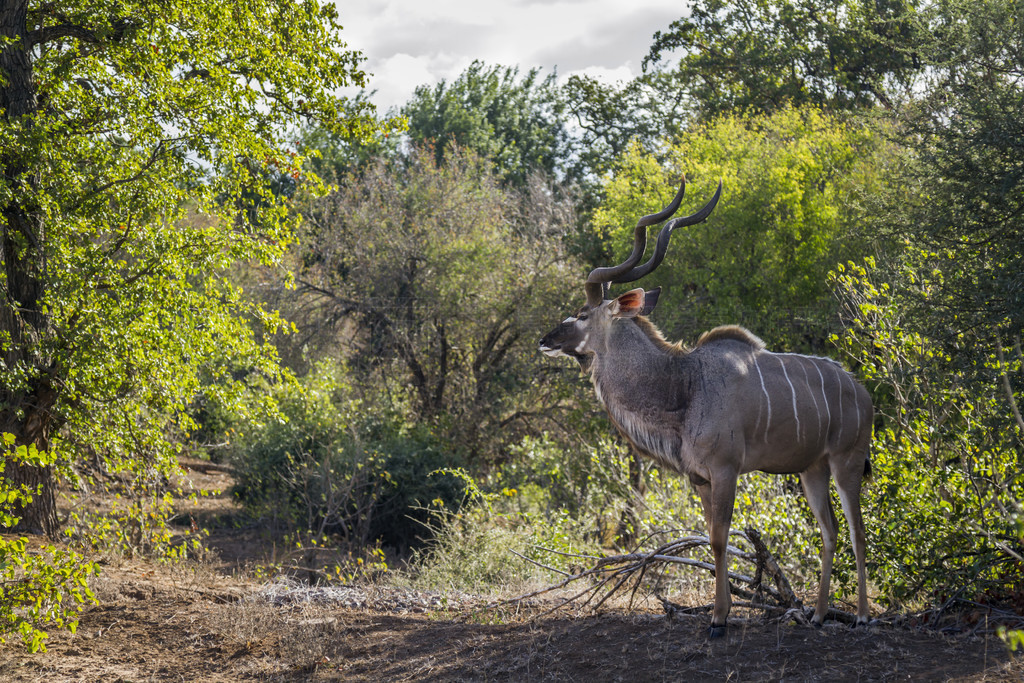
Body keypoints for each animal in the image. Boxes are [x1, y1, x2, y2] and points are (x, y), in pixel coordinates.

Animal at [536, 179, 872, 638]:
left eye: (583, 314)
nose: (545, 339)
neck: (686, 385)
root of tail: (862, 391)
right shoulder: (698, 478)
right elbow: (713, 537)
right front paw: (720, 613)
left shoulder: (726, 471)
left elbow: (718, 539)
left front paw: (718, 619)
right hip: (812, 470)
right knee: (831, 531)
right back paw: (819, 614)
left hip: (846, 462)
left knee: (857, 531)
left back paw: (862, 616)